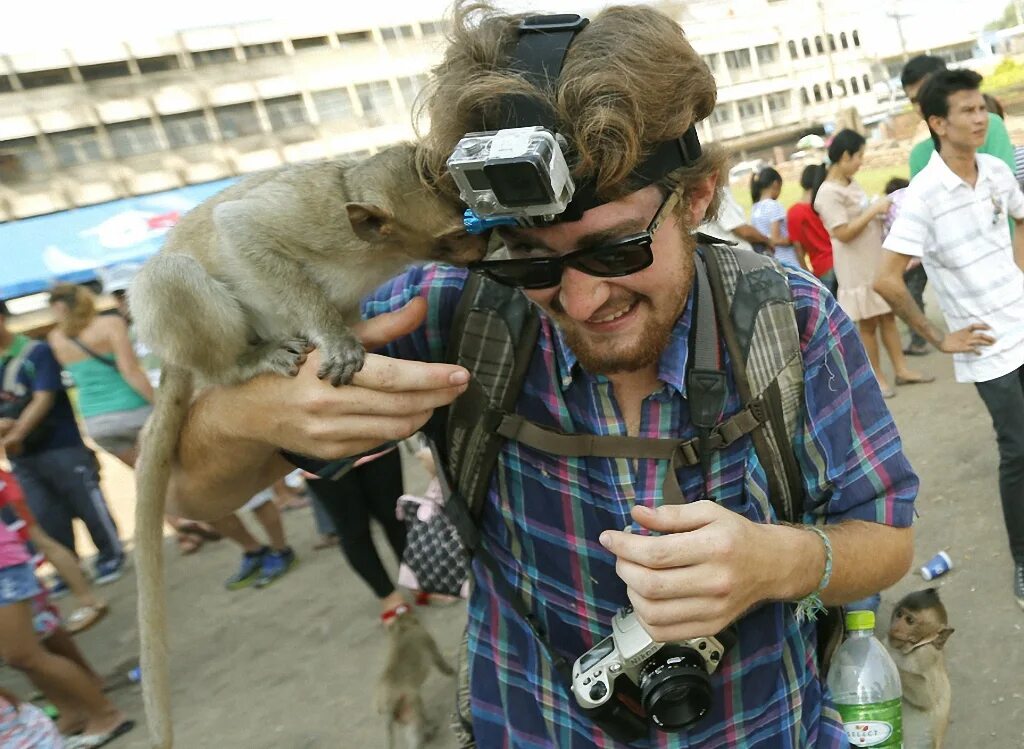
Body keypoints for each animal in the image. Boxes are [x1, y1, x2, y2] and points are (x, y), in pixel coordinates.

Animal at [376, 610, 456, 749]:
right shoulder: (426, 638)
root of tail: (388, 702)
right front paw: (454, 673)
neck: (402, 629)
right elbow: (439, 662)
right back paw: (426, 732)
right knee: (415, 723)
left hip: (398, 712)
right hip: (410, 702)